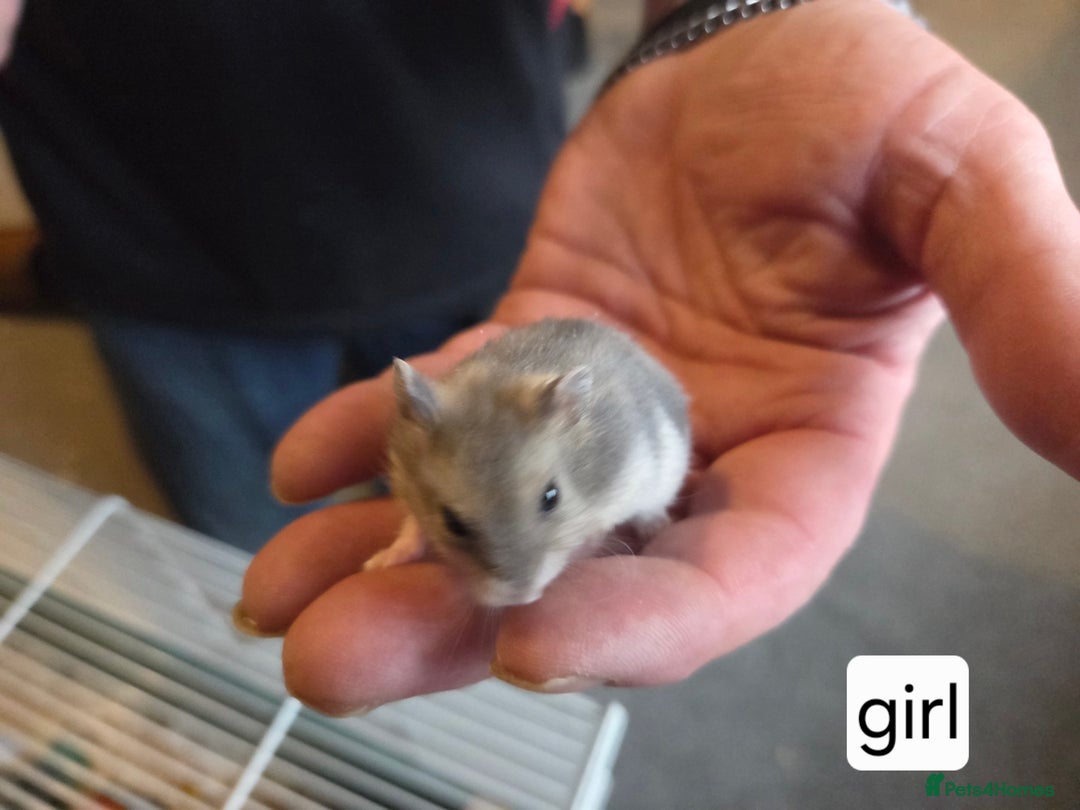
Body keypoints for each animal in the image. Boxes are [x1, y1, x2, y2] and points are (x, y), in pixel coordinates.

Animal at [366, 318, 691, 607]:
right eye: (451, 522)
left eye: (552, 497)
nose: (521, 598)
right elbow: (412, 527)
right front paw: (378, 564)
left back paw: (656, 527)